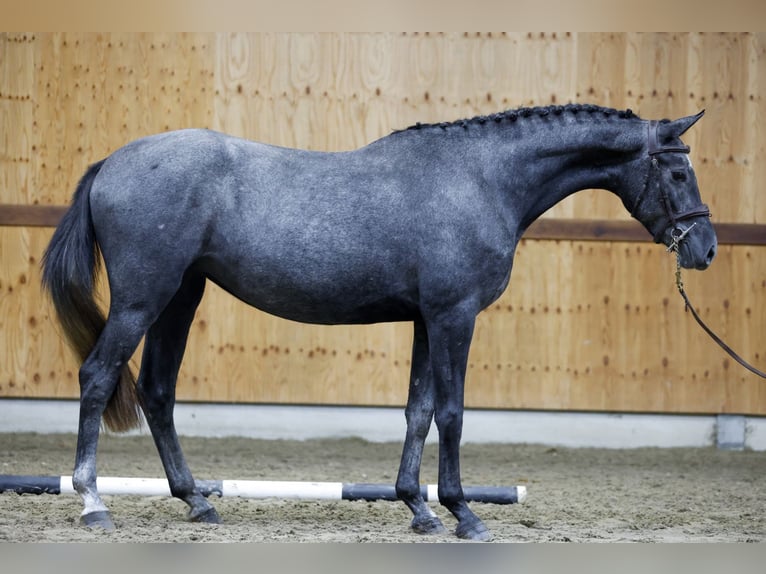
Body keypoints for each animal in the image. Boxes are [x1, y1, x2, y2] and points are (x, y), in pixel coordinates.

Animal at [42, 104, 716, 544]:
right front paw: (464, 513)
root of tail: (113, 162)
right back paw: (93, 502)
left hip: (180, 297)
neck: (479, 179)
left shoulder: (425, 320)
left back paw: (198, 502)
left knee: (157, 391)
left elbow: (419, 411)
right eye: (678, 172)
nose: (704, 249)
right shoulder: (453, 316)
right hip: (142, 299)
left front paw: (418, 508)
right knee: (99, 377)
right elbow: (452, 412)